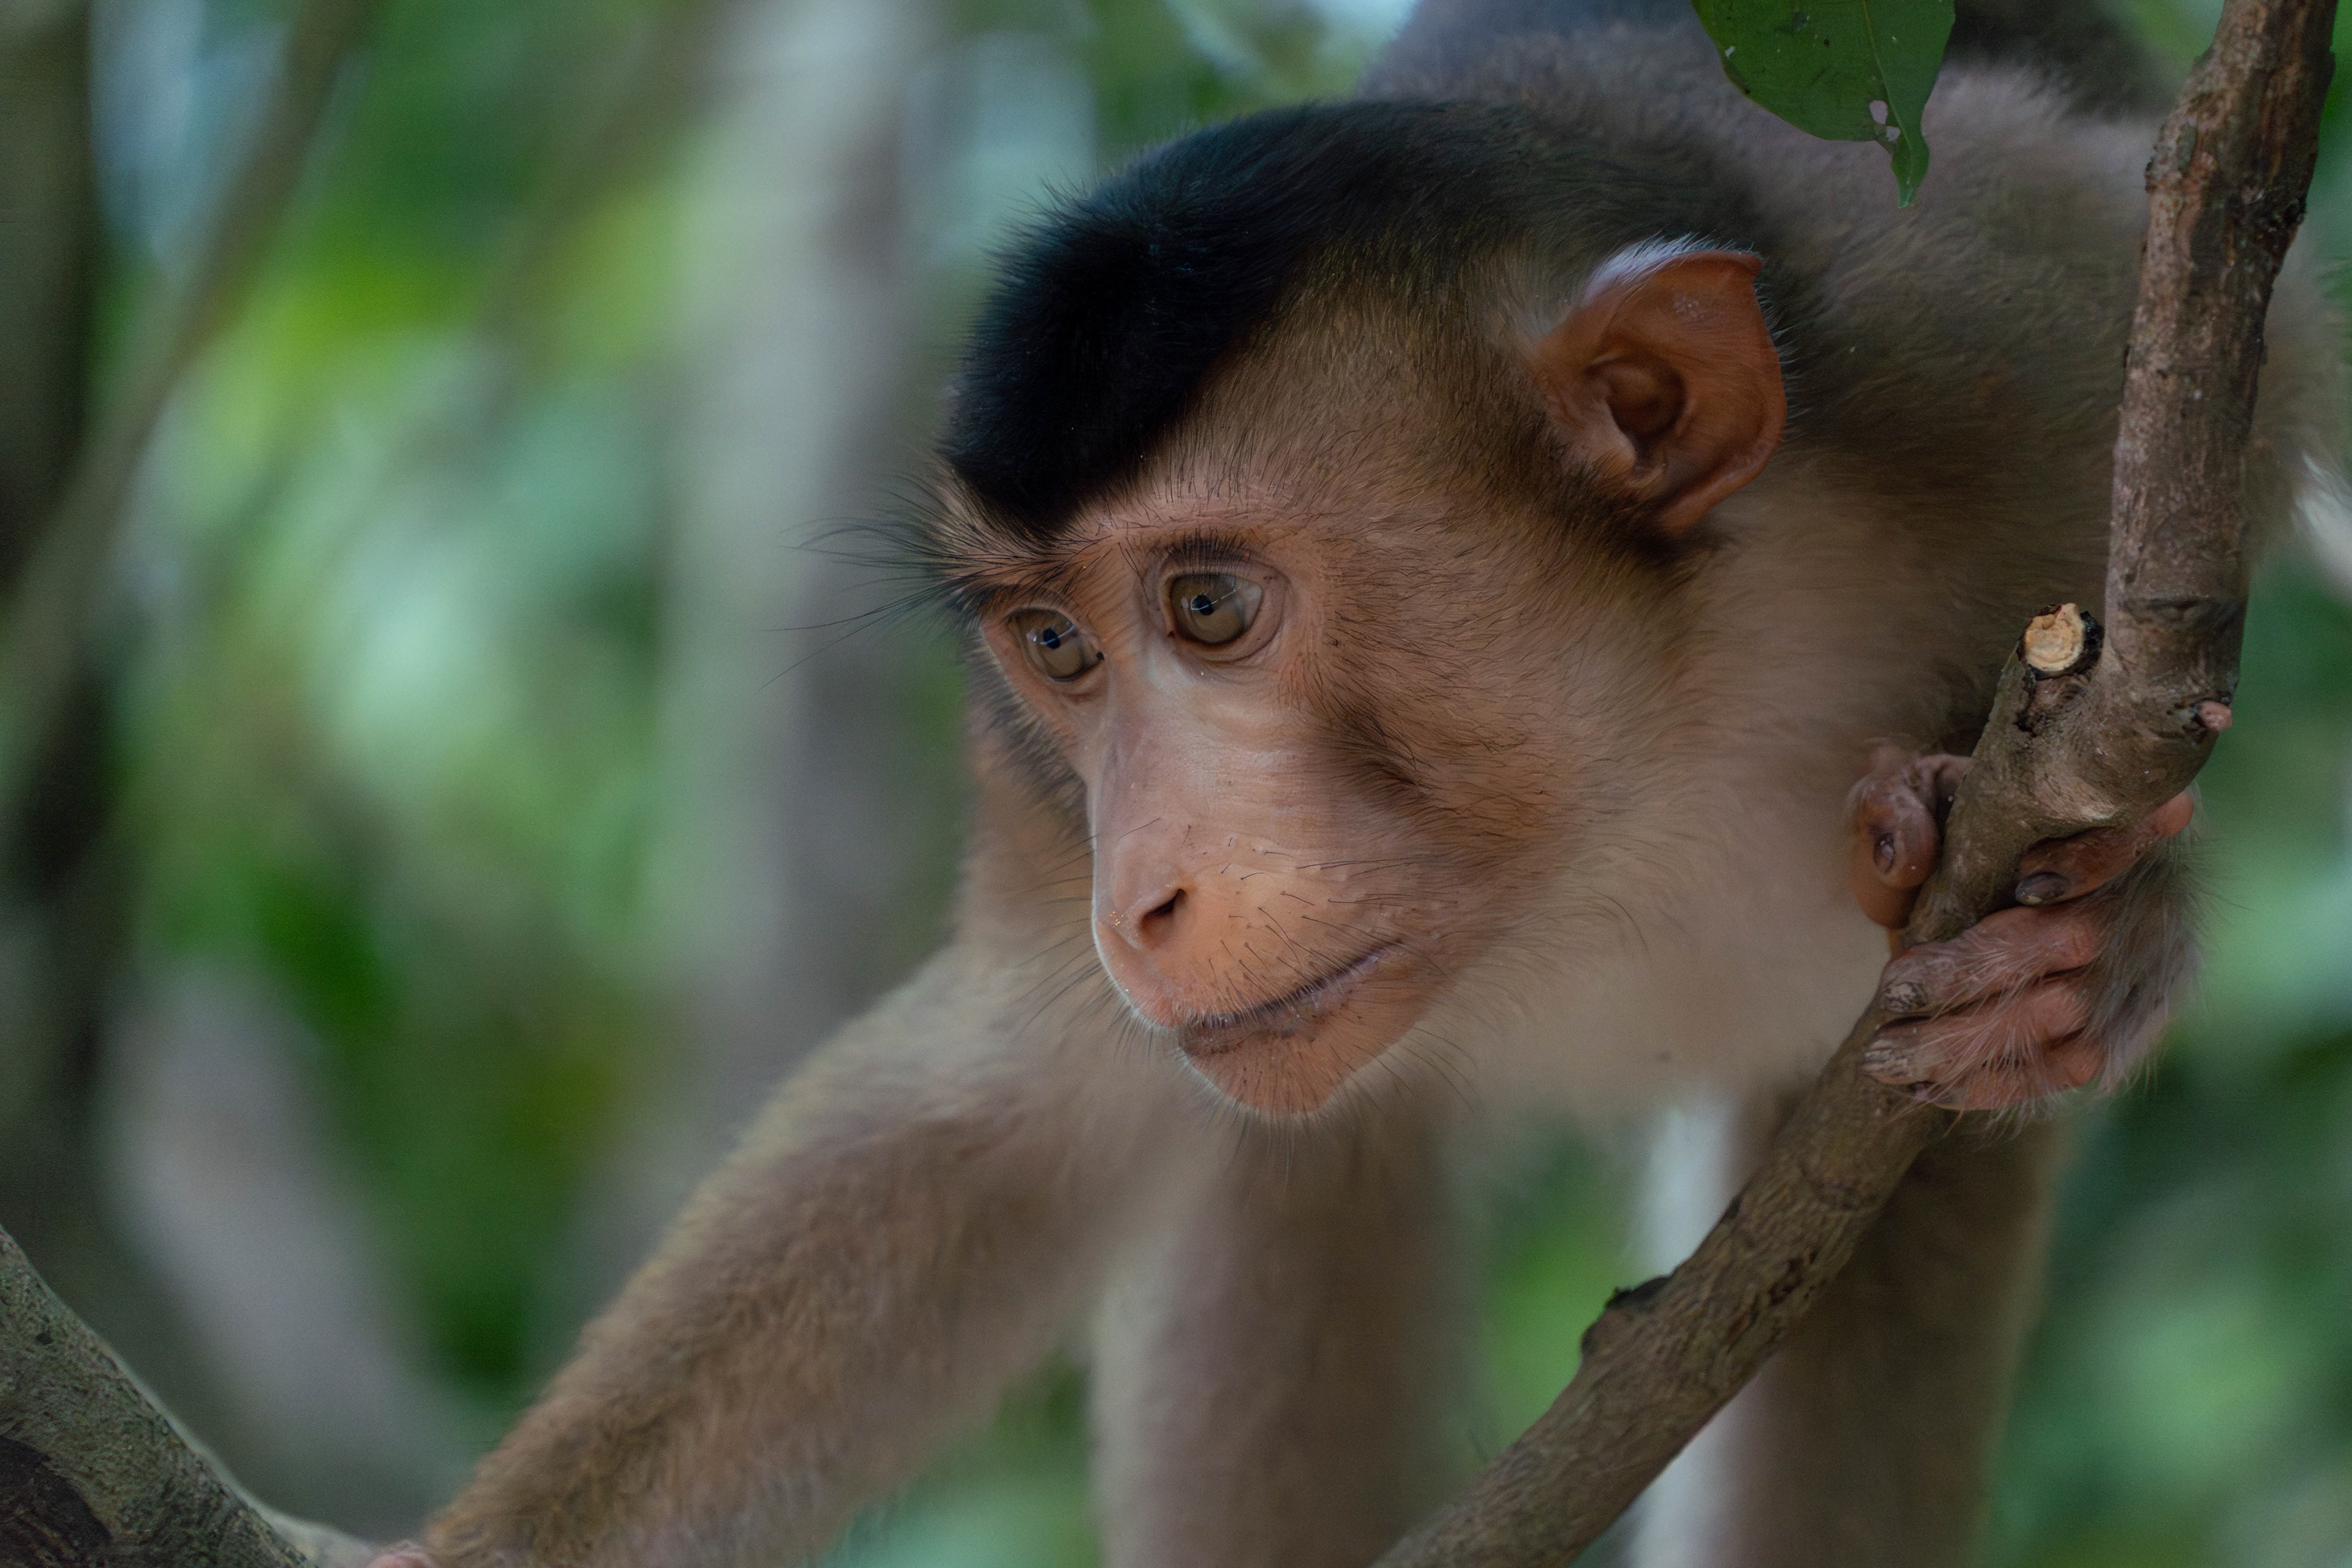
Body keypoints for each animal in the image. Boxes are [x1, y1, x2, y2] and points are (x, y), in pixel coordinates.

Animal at [367, 0, 2342, 1564]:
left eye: (1209, 606)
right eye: (1056, 649)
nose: (1138, 898)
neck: (1639, 743)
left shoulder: (2006, 330)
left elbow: (2243, 404)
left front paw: (2105, 937)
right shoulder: (1037, 791)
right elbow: (996, 1125)